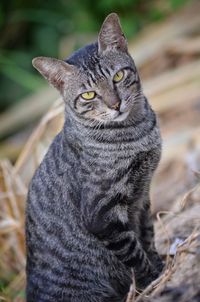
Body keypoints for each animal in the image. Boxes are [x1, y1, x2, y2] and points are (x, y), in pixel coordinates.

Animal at [26, 13, 163, 302]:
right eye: (88, 95)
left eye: (118, 76)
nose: (115, 105)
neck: (136, 131)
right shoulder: (103, 216)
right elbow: (135, 255)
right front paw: (153, 279)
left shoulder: (142, 197)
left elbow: (147, 237)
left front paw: (161, 265)